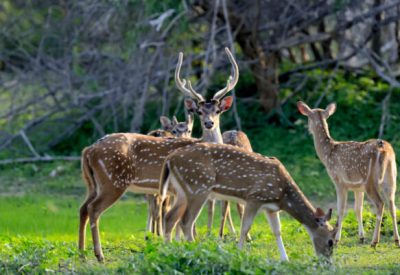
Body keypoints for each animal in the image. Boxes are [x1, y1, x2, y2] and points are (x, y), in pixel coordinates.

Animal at [79, 47, 239, 264]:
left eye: (217, 110)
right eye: (198, 111)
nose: (209, 123)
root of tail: (88, 150)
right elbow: (184, 221)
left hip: (92, 183)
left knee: (83, 208)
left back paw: (81, 252)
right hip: (113, 181)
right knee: (94, 209)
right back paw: (99, 254)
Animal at [159, 143, 338, 262]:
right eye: (331, 241)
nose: (327, 262)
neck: (283, 195)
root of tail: (169, 159)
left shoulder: (271, 208)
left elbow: (277, 231)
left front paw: (285, 259)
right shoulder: (254, 197)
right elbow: (245, 228)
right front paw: (238, 253)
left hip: (182, 191)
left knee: (170, 217)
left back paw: (169, 249)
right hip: (198, 186)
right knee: (186, 221)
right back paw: (196, 249)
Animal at [296, 102, 396, 248]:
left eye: (308, 117)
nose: (308, 129)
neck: (327, 154)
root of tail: (384, 149)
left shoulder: (339, 181)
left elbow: (341, 209)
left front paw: (336, 239)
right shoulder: (357, 187)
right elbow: (358, 209)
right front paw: (361, 237)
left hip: (370, 180)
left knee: (380, 204)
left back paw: (374, 242)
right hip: (391, 176)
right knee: (392, 204)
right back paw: (396, 240)